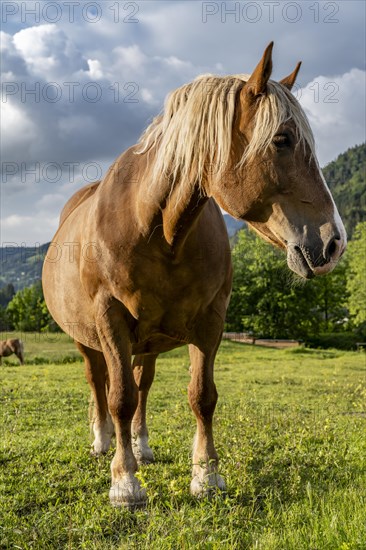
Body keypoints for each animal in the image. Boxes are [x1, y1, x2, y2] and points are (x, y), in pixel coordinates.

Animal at [42, 43, 346, 508]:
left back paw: (141, 445)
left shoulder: (209, 321)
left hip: (147, 342)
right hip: (88, 339)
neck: (157, 229)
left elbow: (201, 396)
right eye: (282, 139)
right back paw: (103, 440)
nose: (334, 243)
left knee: (143, 384)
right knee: (100, 383)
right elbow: (118, 397)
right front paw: (125, 483)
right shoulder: (111, 320)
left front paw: (206, 475)